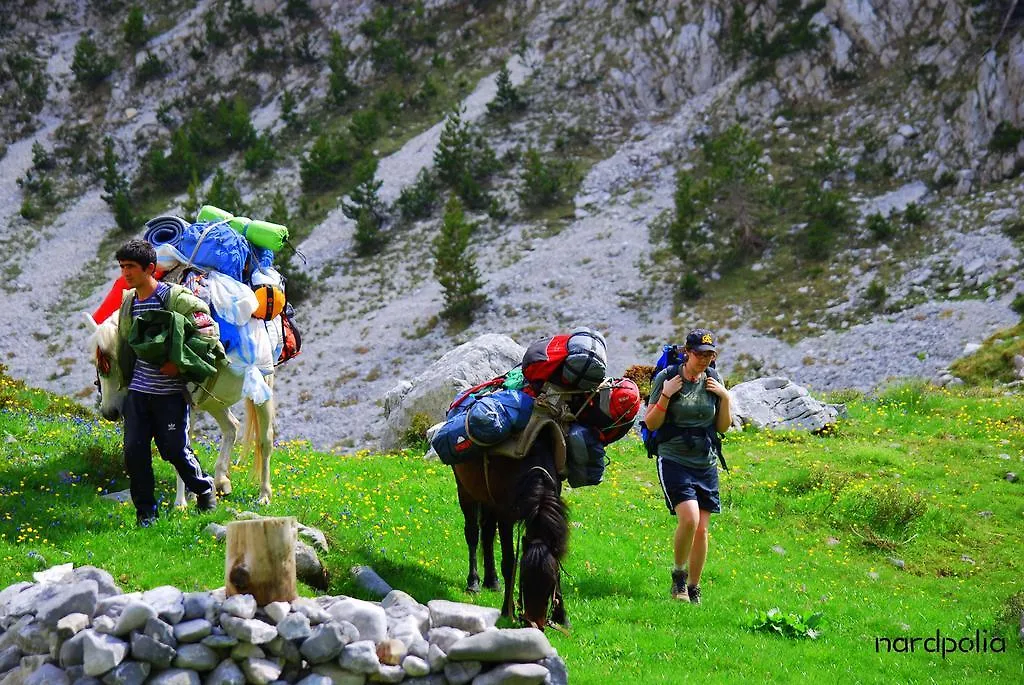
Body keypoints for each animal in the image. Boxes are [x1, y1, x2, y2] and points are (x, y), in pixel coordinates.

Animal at [83, 313, 276, 505]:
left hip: (262, 391)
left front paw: (180, 503)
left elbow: (180, 449)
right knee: (231, 426)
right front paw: (189, 496)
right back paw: (221, 481)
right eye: (97, 365)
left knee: (265, 441)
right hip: (212, 400)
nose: (109, 412)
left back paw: (264, 495)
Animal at [454, 438, 569, 630]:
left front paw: (562, 617)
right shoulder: (505, 518)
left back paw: (492, 581)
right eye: (523, 581)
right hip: (465, 490)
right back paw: (474, 583)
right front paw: (507, 611)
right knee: (473, 534)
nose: (534, 624)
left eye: (550, 585)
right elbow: (508, 564)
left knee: (487, 533)